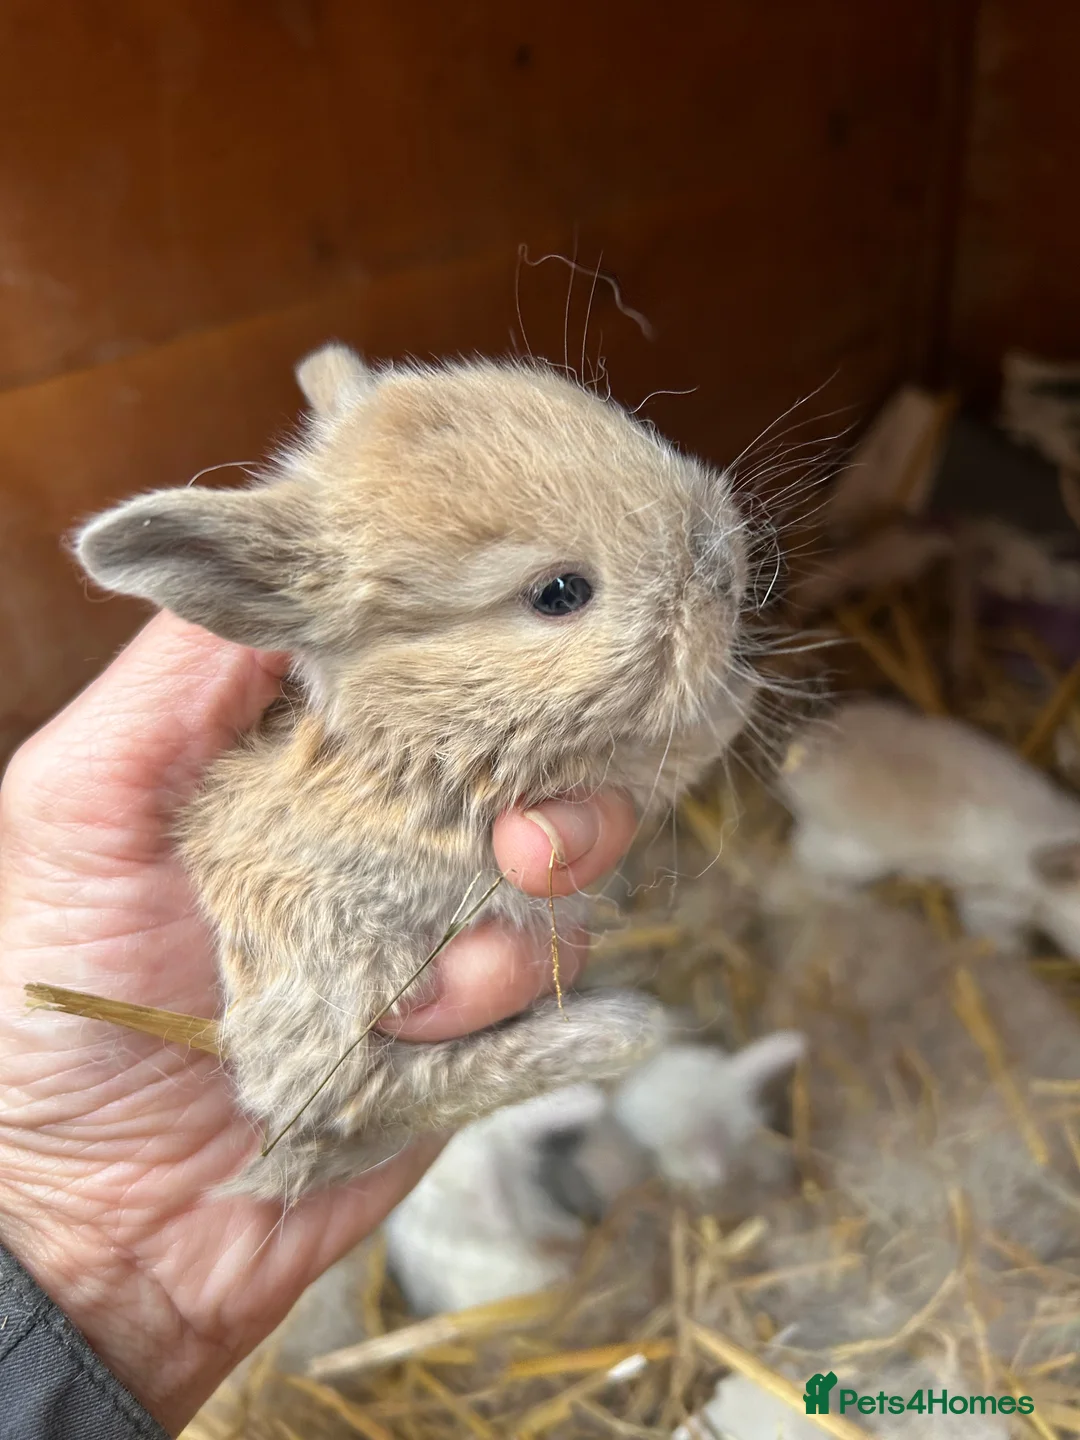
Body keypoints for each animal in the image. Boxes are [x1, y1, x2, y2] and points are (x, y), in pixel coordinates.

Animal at [74, 344, 762, 1202]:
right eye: (559, 593)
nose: (729, 565)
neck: (413, 728)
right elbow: (669, 756)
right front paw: (738, 696)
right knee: (359, 1094)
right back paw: (618, 1031)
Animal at [779, 697, 1080, 956]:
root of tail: (798, 757)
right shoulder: (990, 901)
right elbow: (989, 927)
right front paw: (1015, 948)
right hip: (852, 856)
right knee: (807, 862)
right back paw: (852, 900)